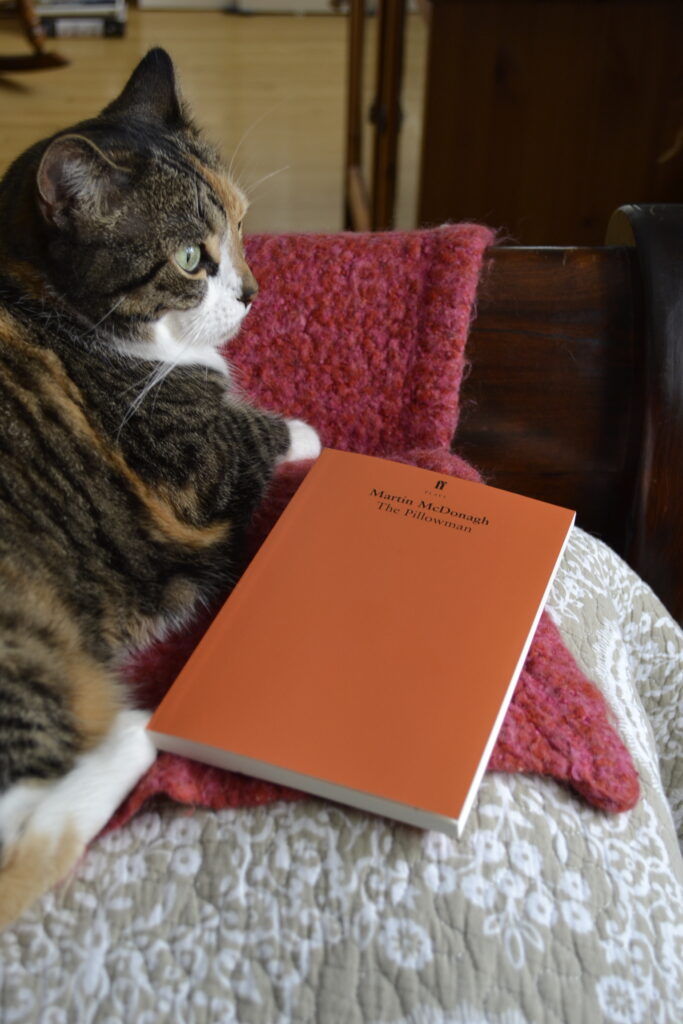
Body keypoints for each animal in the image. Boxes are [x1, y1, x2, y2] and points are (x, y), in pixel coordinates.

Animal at [0, 48, 321, 929]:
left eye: (242, 224)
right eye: (187, 260)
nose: (251, 293)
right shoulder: (184, 457)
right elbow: (257, 431)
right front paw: (310, 434)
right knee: (25, 835)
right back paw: (136, 735)